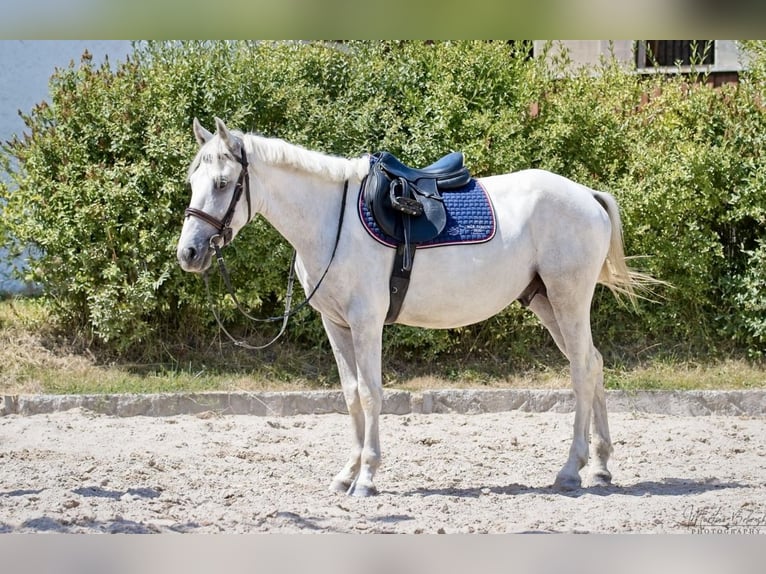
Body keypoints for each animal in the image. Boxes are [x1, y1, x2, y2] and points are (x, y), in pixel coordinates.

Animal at [177, 118, 644, 500]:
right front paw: (347, 473)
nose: (189, 253)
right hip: (546, 302)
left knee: (581, 370)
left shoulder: (366, 322)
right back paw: (600, 467)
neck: (331, 221)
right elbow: (350, 394)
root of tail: (586, 195)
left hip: (569, 298)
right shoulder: (335, 324)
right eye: (192, 180)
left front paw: (367, 477)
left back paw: (571, 470)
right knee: (593, 363)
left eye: (222, 183)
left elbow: (370, 393)